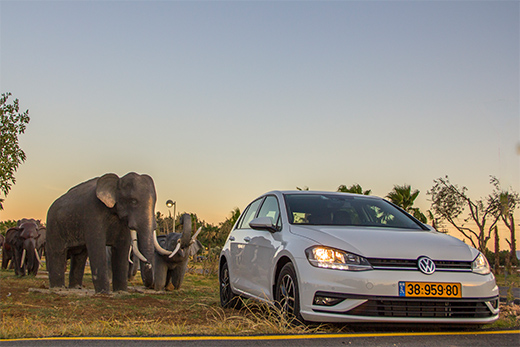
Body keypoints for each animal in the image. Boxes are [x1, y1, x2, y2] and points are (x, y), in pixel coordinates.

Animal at [46, 173, 174, 294]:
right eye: (133, 201)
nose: (148, 263)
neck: (119, 179)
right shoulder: (93, 212)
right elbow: (97, 246)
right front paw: (104, 293)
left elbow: (122, 247)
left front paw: (121, 291)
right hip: (53, 225)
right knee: (57, 252)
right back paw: (58, 288)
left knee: (80, 255)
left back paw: (76, 288)